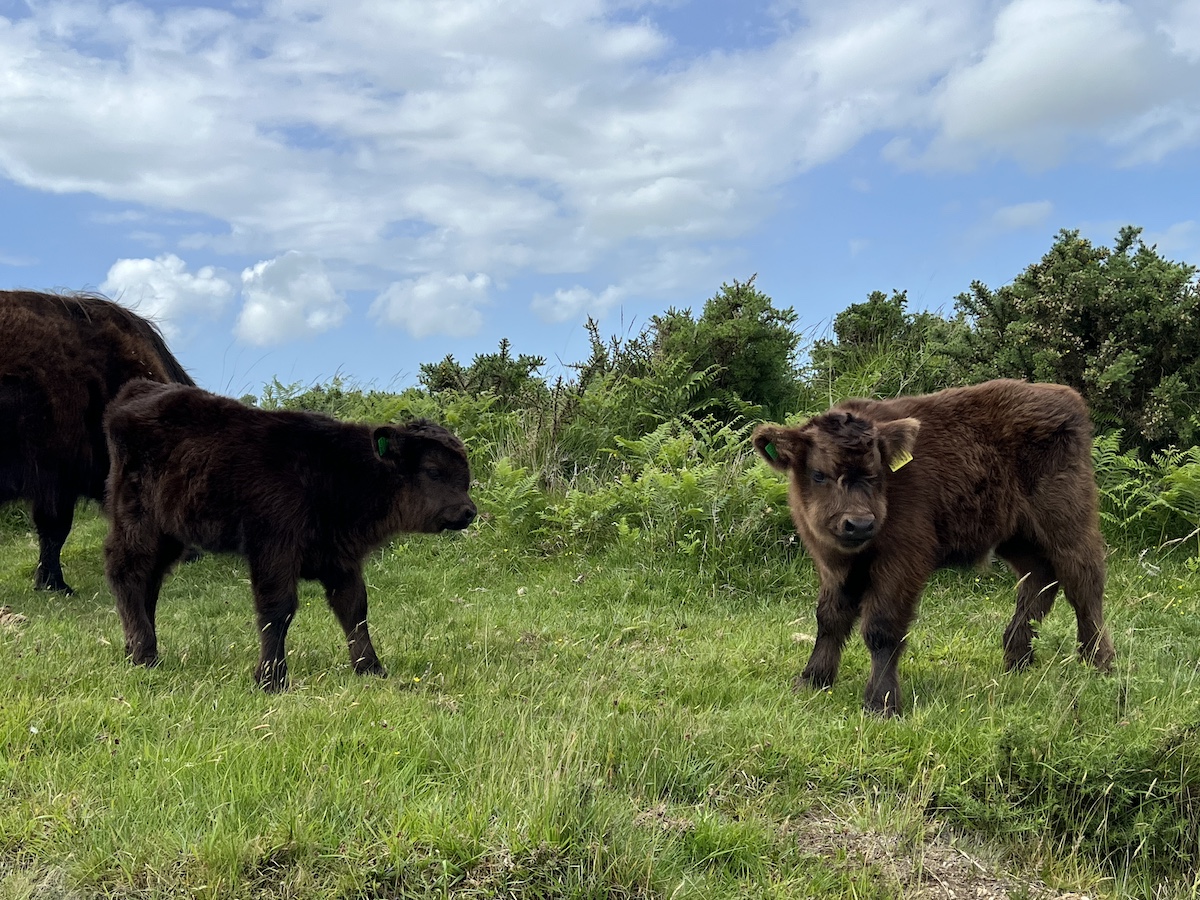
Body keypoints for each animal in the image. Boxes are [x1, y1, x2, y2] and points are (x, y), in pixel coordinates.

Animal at [103, 380, 477, 692]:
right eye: (433, 471)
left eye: (465, 473)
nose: (469, 511)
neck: (337, 472)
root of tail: (138, 390)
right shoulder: (273, 548)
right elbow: (277, 609)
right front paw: (271, 679)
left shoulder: (340, 557)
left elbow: (354, 608)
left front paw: (370, 668)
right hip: (138, 521)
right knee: (127, 573)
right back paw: (144, 653)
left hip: (169, 533)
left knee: (150, 580)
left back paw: (139, 648)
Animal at [753, 379, 1114, 716]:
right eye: (819, 474)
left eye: (876, 473)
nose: (860, 523)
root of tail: (1063, 394)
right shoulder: (833, 566)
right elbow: (829, 618)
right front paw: (812, 679)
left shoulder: (903, 561)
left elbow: (882, 629)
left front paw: (881, 703)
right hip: (1016, 535)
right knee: (1039, 580)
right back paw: (1017, 659)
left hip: (1068, 521)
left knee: (1084, 584)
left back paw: (1098, 662)